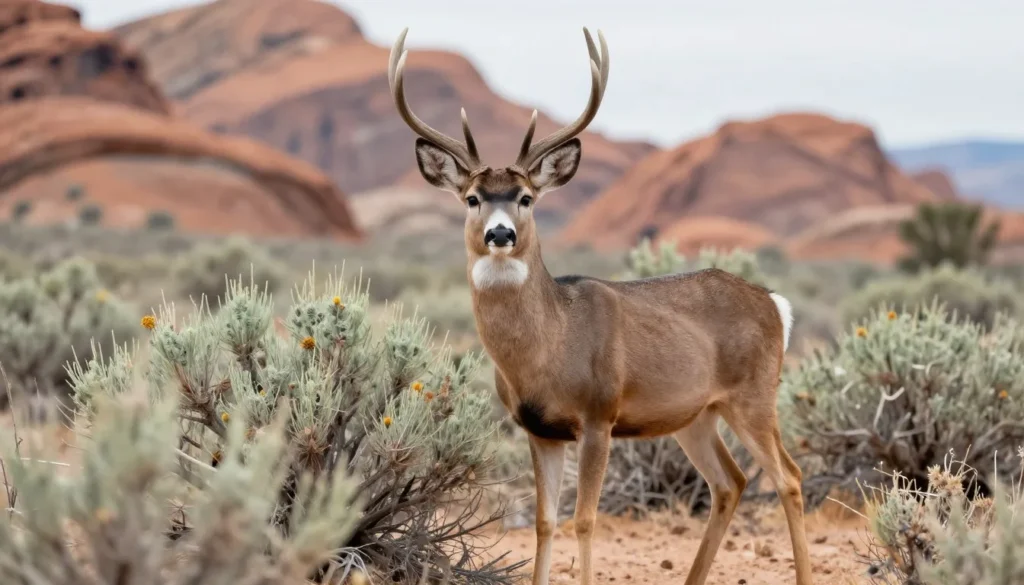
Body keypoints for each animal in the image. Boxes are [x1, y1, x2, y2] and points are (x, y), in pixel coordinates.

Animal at [388, 27, 813, 585]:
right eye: (472, 198)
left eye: (526, 197)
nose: (499, 234)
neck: (551, 346)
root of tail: (774, 302)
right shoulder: (538, 429)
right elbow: (545, 522)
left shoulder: (598, 415)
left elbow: (584, 520)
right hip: (697, 413)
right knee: (732, 481)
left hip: (754, 396)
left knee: (790, 476)